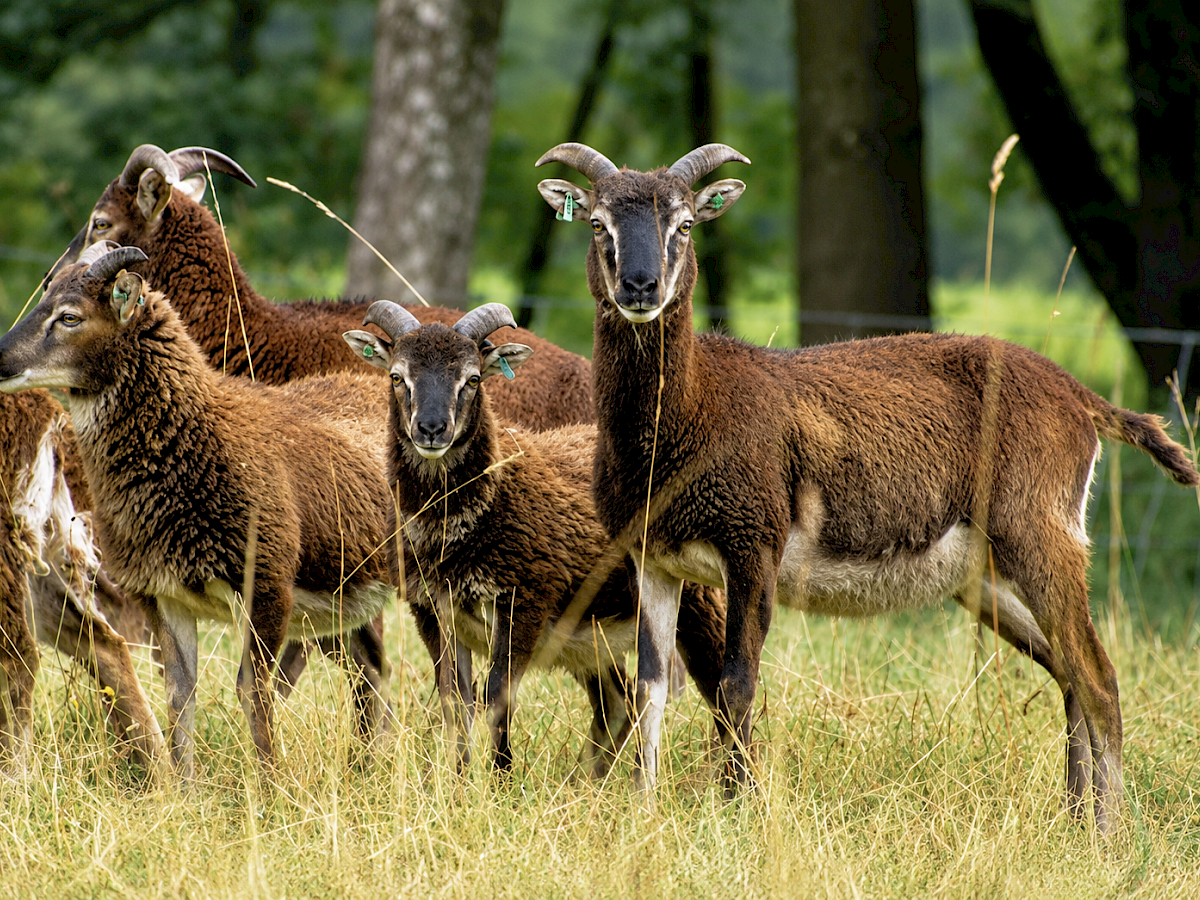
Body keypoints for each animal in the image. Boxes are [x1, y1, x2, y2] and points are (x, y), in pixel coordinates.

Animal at [1, 389, 163, 771]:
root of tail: (44, 408)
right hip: (43, 555)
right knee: (105, 645)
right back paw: (160, 772)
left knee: (19, 660)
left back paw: (14, 774)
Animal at [343, 301, 726, 775]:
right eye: (397, 376)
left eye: (473, 378)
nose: (431, 429)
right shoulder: (432, 610)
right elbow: (455, 700)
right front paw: (458, 779)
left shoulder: (523, 601)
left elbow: (497, 697)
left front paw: (502, 778)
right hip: (593, 636)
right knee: (616, 704)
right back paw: (589, 782)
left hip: (698, 602)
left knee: (723, 695)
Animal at [535, 141, 1200, 832]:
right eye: (597, 224)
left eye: (685, 224)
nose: (640, 288)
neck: (694, 412)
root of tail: (1083, 399)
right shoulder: (653, 558)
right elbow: (651, 686)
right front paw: (643, 809)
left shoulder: (754, 543)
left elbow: (735, 682)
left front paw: (737, 811)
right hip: (986, 574)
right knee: (1069, 673)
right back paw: (1074, 821)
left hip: (1043, 533)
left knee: (1098, 678)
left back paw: (1109, 832)